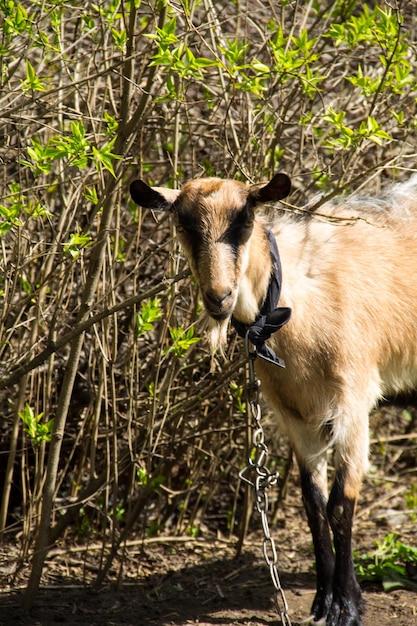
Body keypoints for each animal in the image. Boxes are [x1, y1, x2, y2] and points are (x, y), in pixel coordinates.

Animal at [129, 172, 416, 624]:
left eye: (245, 218)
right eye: (182, 223)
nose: (219, 297)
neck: (299, 300)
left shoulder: (354, 402)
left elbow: (340, 505)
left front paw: (347, 605)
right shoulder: (297, 414)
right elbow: (313, 504)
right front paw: (322, 601)